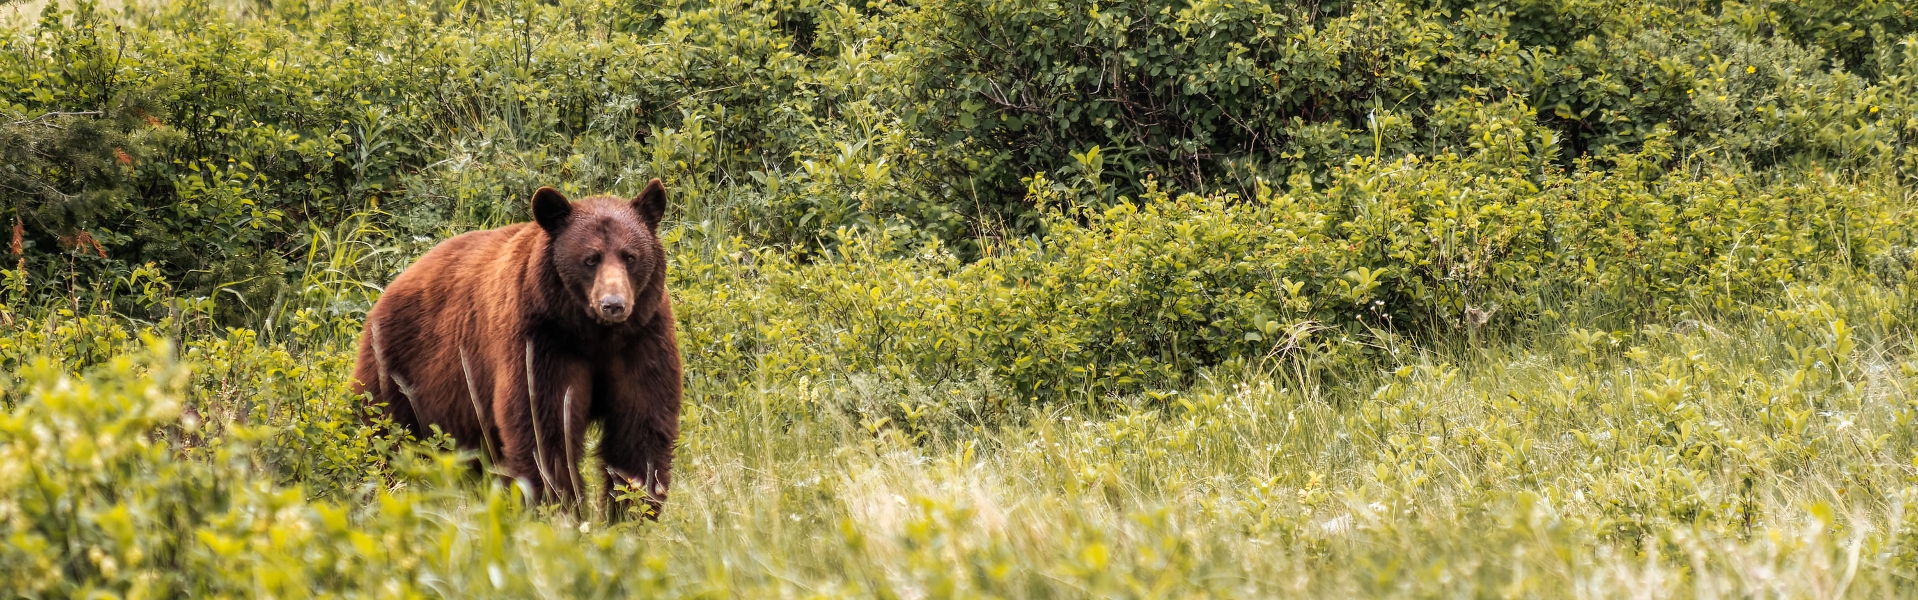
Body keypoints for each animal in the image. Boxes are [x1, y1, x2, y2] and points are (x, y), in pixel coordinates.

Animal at [352, 178, 682, 517]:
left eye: (630, 256)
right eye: (590, 259)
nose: (613, 304)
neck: (593, 335)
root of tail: (390, 288)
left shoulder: (642, 339)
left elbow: (640, 425)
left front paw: (631, 511)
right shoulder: (540, 342)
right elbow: (543, 426)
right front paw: (560, 507)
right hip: (398, 370)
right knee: (382, 435)